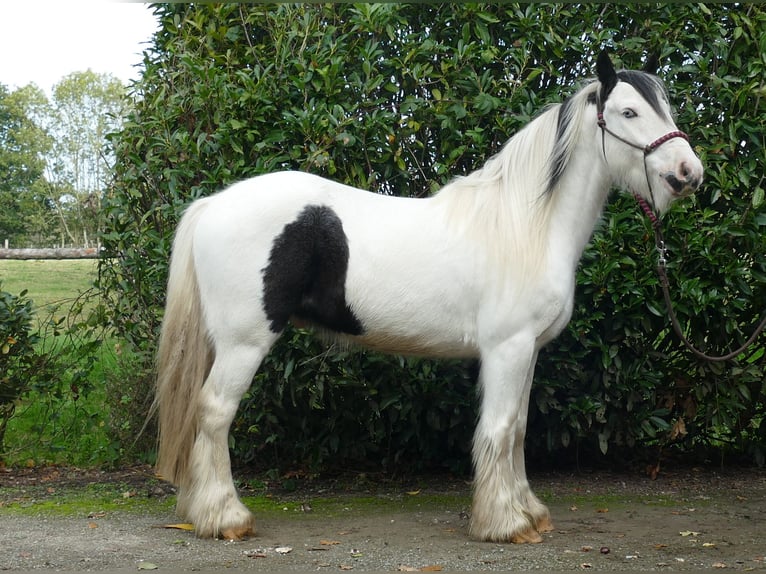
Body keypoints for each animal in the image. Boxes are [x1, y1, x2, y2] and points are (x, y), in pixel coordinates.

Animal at [156, 53, 708, 544]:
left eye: (667, 109)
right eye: (629, 112)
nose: (689, 173)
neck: (526, 225)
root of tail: (213, 204)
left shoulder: (527, 350)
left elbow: (518, 429)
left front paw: (528, 512)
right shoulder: (507, 348)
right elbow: (499, 428)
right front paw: (504, 524)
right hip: (244, 342)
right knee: (215, 412)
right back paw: (226, 518)